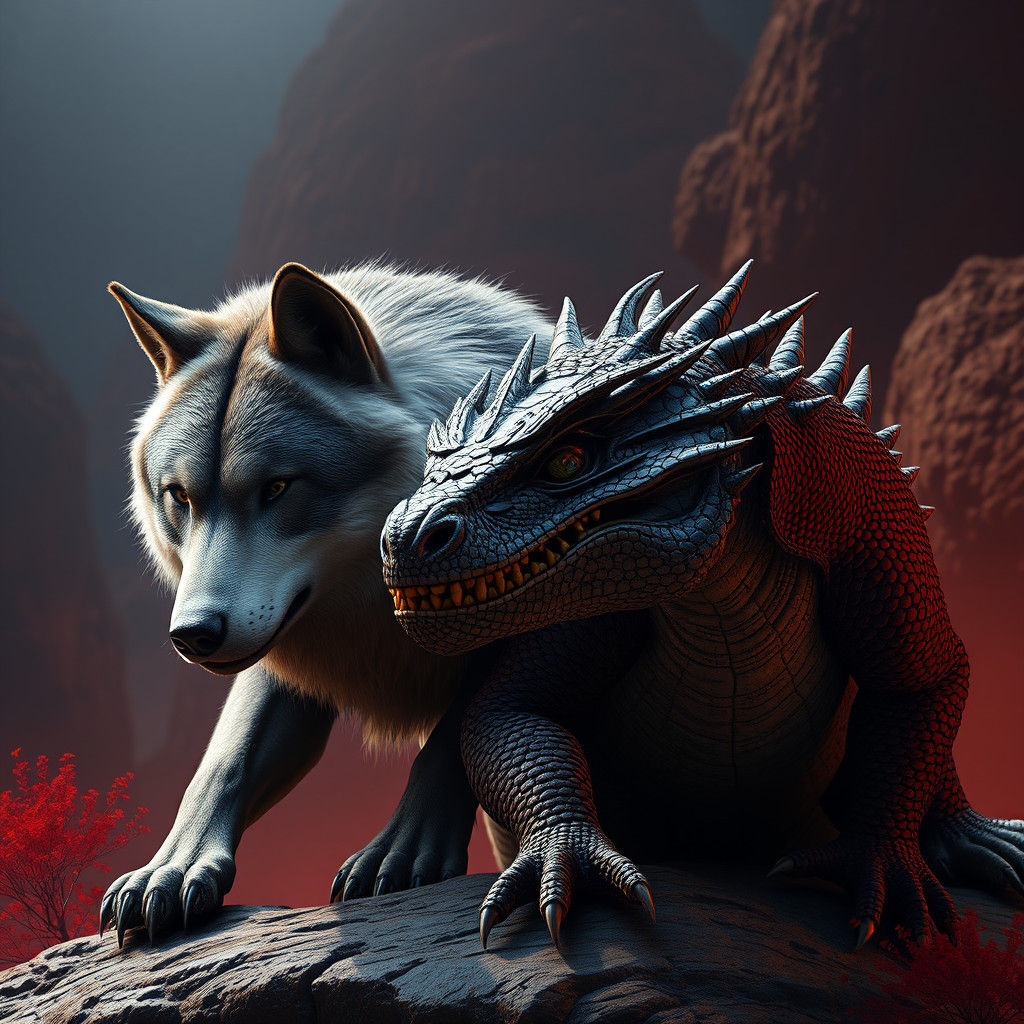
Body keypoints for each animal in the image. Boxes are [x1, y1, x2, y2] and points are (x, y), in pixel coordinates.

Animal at [100, 260, 549, 945]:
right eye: (180, 496)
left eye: (278, 488)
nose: (193, 633)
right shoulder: (285, 654)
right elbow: (221, 763)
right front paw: (171, 869)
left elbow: (453, 731)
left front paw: (401, 852)